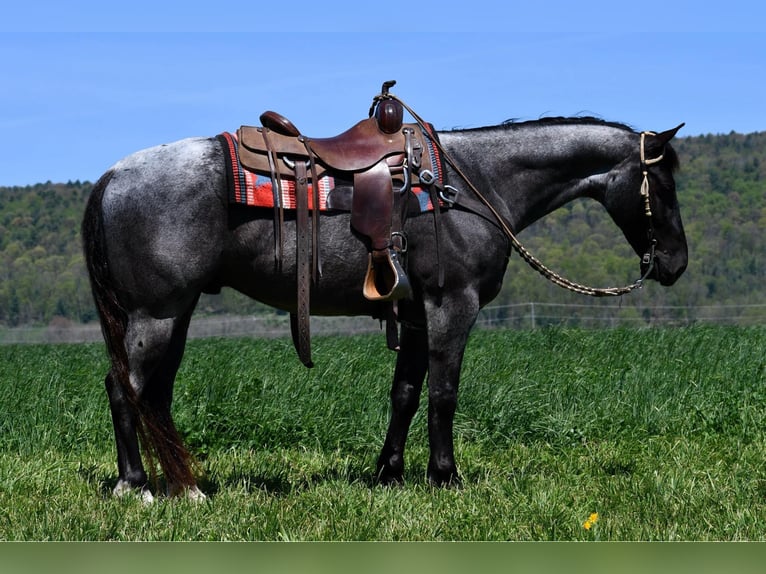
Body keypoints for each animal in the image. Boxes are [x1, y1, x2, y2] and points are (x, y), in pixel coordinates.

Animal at [82, 107, 688, 500]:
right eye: (660, 184)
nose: (675, 264)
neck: (472, 185)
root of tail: (112, 175)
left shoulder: (415, 314)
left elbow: (405, 395)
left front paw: (389, 473)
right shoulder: (452, 306)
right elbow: (443, 394)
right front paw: (445, 477)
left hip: (175, 314)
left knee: (154, 395)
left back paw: (182, 486)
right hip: (155, 315)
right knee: (124, 388)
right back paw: (135, 485)